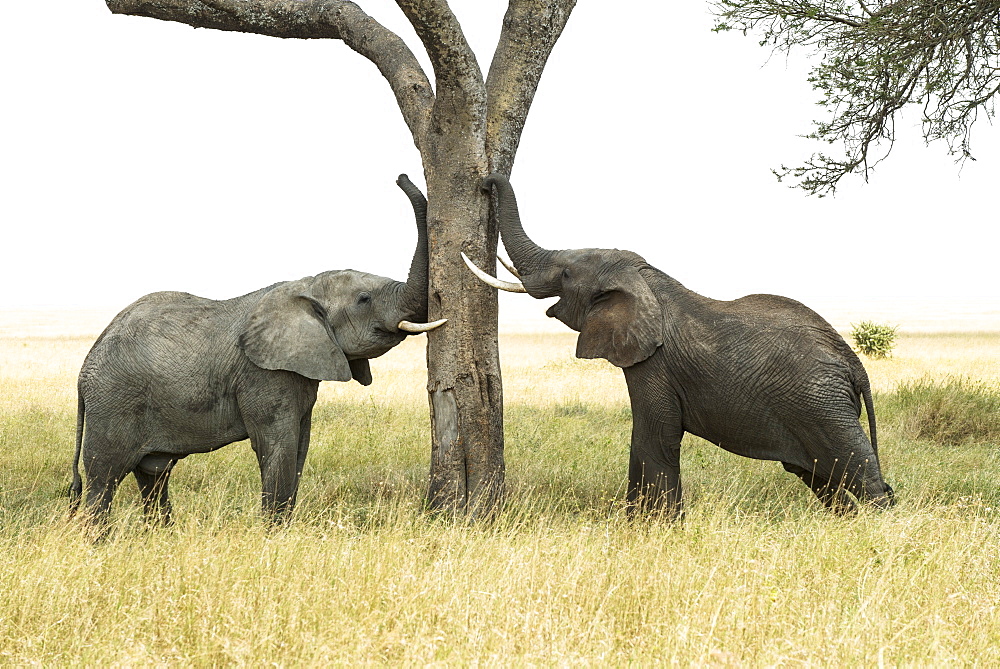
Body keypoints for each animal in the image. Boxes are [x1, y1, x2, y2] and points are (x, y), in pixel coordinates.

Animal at [68, 174, 444, 528]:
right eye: (364, 299)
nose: (400, 176)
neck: (304, 287)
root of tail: (85, 368)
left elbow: (299, 448)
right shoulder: (263, 375)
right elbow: (277, 446)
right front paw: (274, 534)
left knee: (153, 477)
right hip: (113, 403)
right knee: (104, 479)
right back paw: (97, 541)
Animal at [464, 172, 896, 516]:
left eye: (567, 274)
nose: (485, 181)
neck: (644, 277)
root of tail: (854, 365)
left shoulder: (655, 363)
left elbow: (654, 435)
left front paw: (652, 527)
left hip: (823, 405)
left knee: (860, 474)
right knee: (821, 476)